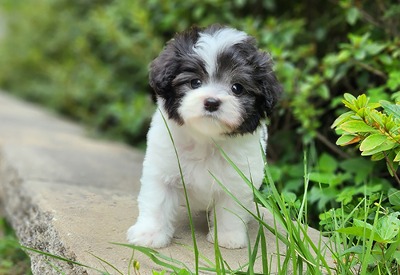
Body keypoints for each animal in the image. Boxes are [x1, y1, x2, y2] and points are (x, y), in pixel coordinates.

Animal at [127, 24, 282, 250]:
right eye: (195, 82)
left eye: (237, 87)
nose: (211, 102)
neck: (206, 138)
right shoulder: (162, 167)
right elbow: (158, 201)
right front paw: (150, 233)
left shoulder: (238, 178)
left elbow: (230, 210)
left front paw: (228, 237)